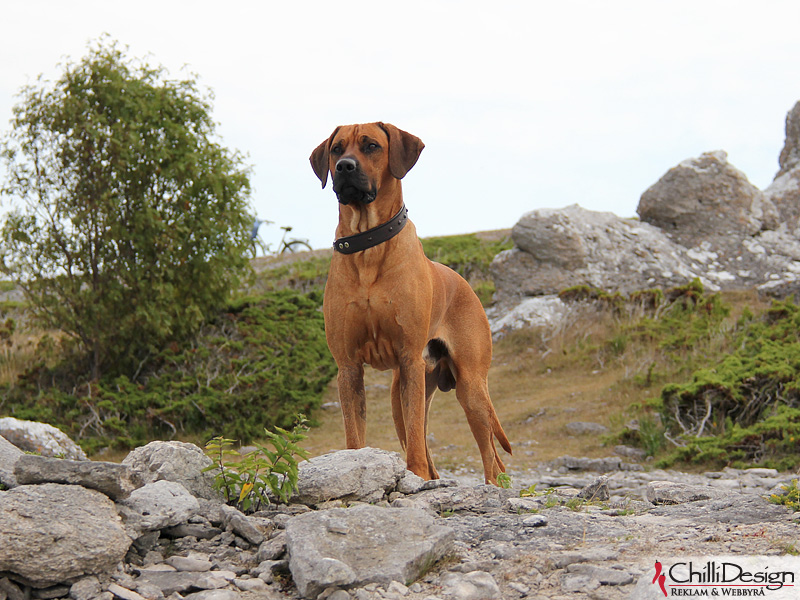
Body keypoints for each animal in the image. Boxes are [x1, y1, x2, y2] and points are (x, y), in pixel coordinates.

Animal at [310, 122, 510, 482]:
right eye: (336, 149)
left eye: (371, 146)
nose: (345, 167)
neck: (368, 247)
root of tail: (465, 283)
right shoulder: (348, 367)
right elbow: (354, 434)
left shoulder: (409, 358)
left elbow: (417, 440)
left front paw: (412, 473)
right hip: (398, 392)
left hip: (470, 387)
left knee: (491, 458)